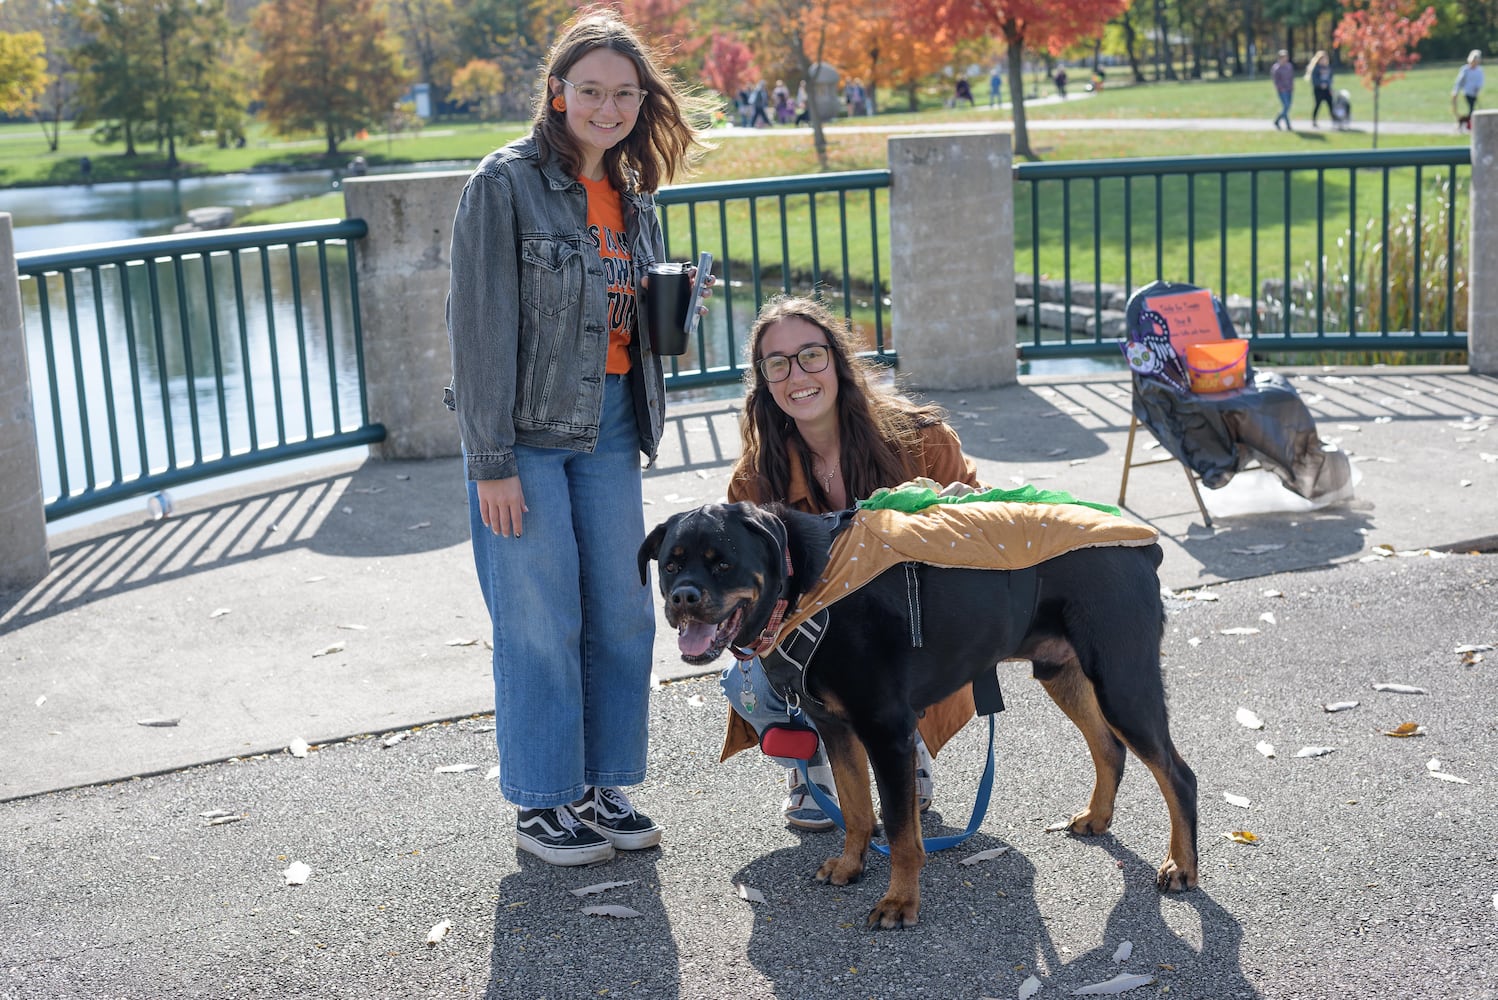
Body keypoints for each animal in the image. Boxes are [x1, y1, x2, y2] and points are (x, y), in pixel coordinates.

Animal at [638, 499, 1198, 928]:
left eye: (723, 562)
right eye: (671, 564)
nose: (683, 597)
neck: (806, 588)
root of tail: (1144, 549)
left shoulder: (887, 730)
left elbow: (901, 830)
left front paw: (899, 901)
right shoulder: (836, 728)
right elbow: (857, 808)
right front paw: (851, 865)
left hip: (1122, 681)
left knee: (1177, 773)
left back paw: (1182, 866)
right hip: (1063, 673)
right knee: (1110, 748)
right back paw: (1098, 817)